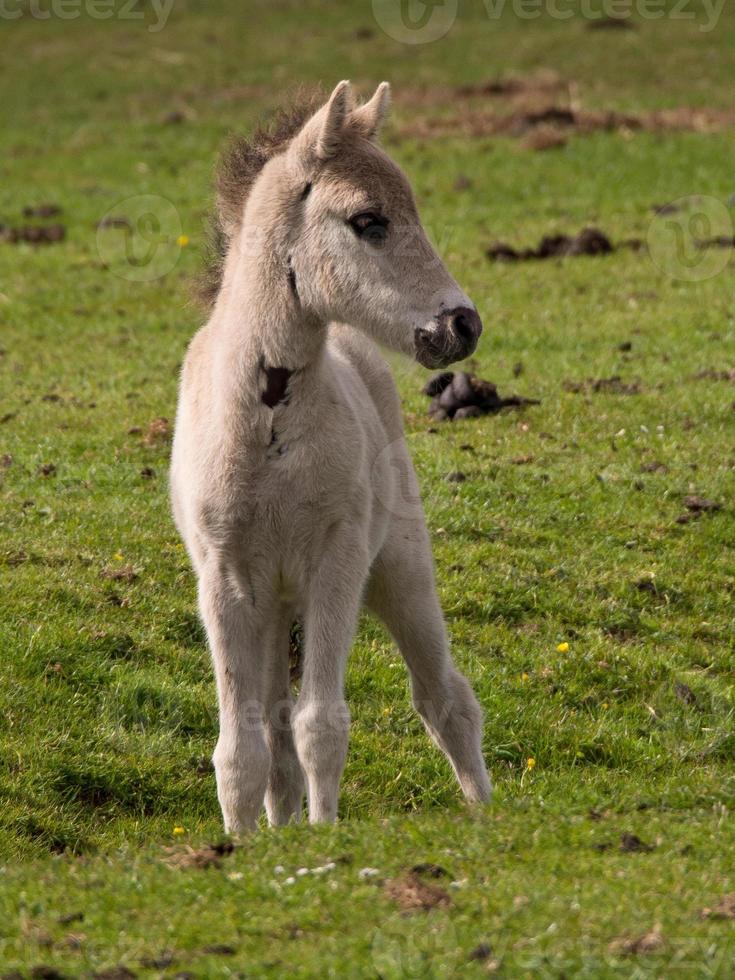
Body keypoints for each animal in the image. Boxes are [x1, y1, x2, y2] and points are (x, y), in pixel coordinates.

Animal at [172, 84, 492, 832]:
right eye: (368, 221)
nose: (461, 325)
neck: (267, 427)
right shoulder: (224, 581)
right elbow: (242, 746)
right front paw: (243, 842)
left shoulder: (337, 561)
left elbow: (323, 723)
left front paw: (324, 835)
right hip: (272, 607)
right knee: (274, 727)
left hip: (400, 568)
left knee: (445, 698)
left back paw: (485, 812)